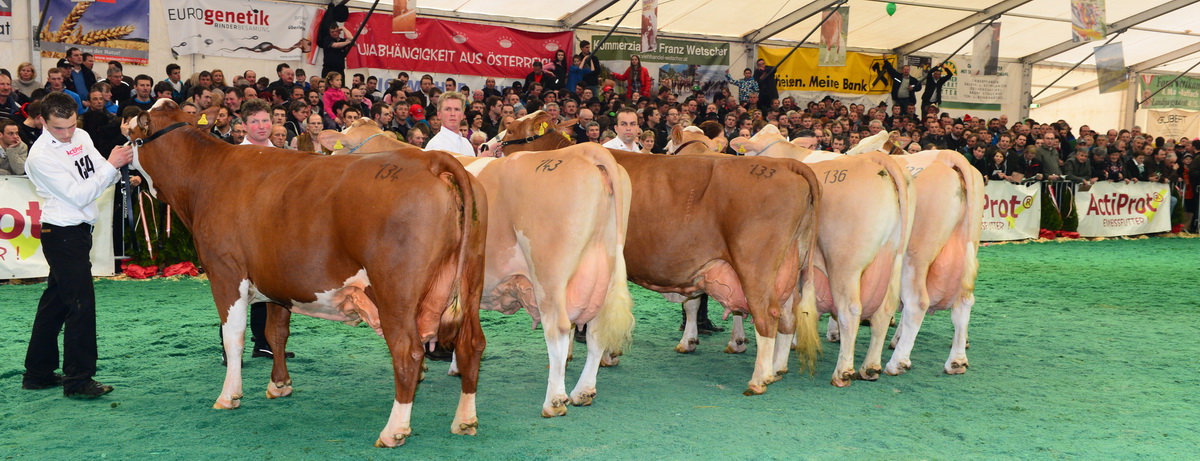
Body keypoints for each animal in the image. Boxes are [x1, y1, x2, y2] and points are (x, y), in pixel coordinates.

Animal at [129, 100, 484, 446]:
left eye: (132, 133)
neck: (208, 173)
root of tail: (431, 159)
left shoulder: (225, 272)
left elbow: (234, 337)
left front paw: (229, 396)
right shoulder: (276, 282)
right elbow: (275, 332)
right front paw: (279, 385)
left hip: (395, 290)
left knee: (408, 350)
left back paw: (394, 430)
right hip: (471, 281)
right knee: (472, 344)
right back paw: (464, 420)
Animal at [319, 116, 638, 417]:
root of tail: (584, 151)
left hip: (550, 274)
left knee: (558, 328)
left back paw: (554, 400)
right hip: (603, 270)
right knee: (596, 329)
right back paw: (583, 391)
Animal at [499, 113, 825, 393]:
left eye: (511, 129)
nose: (494, 144)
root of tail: (786, 165)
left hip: (755, 266)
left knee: (767, 315)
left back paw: (759, 378)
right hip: (789, 266)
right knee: (788, 314)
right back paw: (778, 368)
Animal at [724, 124, 912, 384]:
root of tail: (877, 160)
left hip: (845, 264)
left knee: (851, 310)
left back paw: (843, 371)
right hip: (890, 259)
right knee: (884, 310)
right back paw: (870, 367)